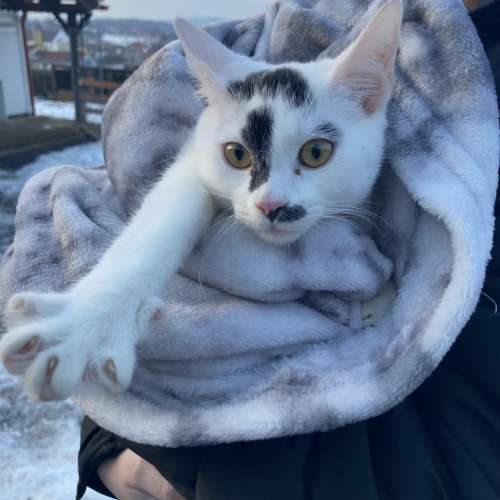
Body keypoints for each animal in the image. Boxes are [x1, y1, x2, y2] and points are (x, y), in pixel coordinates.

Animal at [0, 0, 402, 401]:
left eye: (316, 152)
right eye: (236, 155)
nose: (271, 206)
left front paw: (378, 301)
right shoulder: (191, 161)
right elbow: (160, 223)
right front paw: (86, 325)